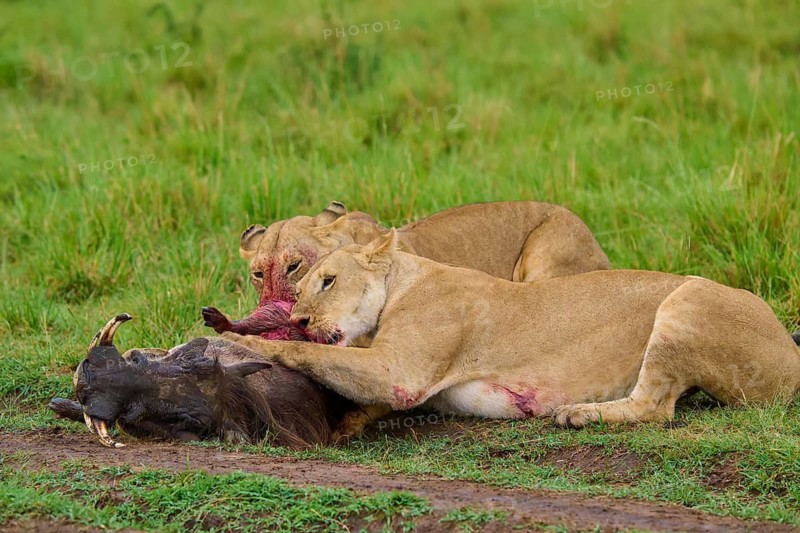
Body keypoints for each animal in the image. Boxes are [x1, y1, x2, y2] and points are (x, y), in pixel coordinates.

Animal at [224, 230, 800, 429]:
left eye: (327, 280)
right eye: (298, 288)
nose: (297, 320)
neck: (404, 280)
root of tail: (790, 350)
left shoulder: (399, 372)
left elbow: (318, 357)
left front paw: (236, 339)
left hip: (687, 299)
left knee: (656, 408)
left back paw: (579, 415)